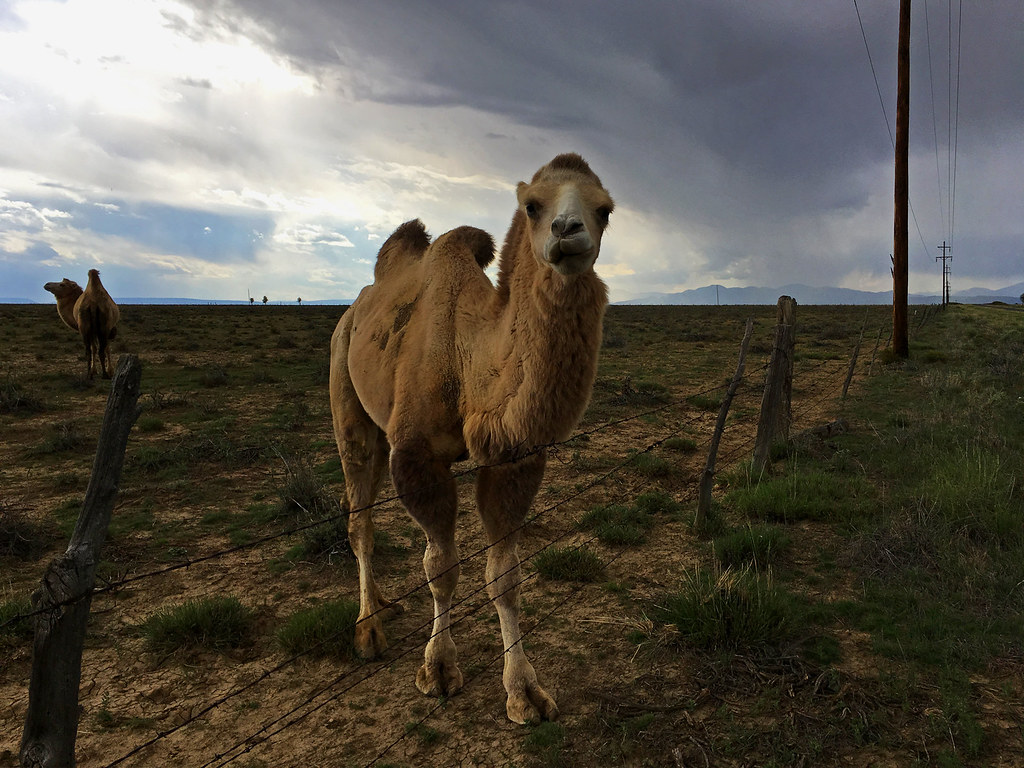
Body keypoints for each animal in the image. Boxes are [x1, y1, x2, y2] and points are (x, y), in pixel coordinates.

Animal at [329, 153, 614, 724]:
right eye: (532, 206)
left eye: (606, 210)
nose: (568, 232)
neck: (470, 360)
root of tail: (354, 308)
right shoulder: (416, 456)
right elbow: (441, 568)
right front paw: (437, 669)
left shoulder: (513, 458)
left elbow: (505, 576)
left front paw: (524, 692)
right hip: (344, 385)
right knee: (359, 518)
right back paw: (368, 628)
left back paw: (385, 603)